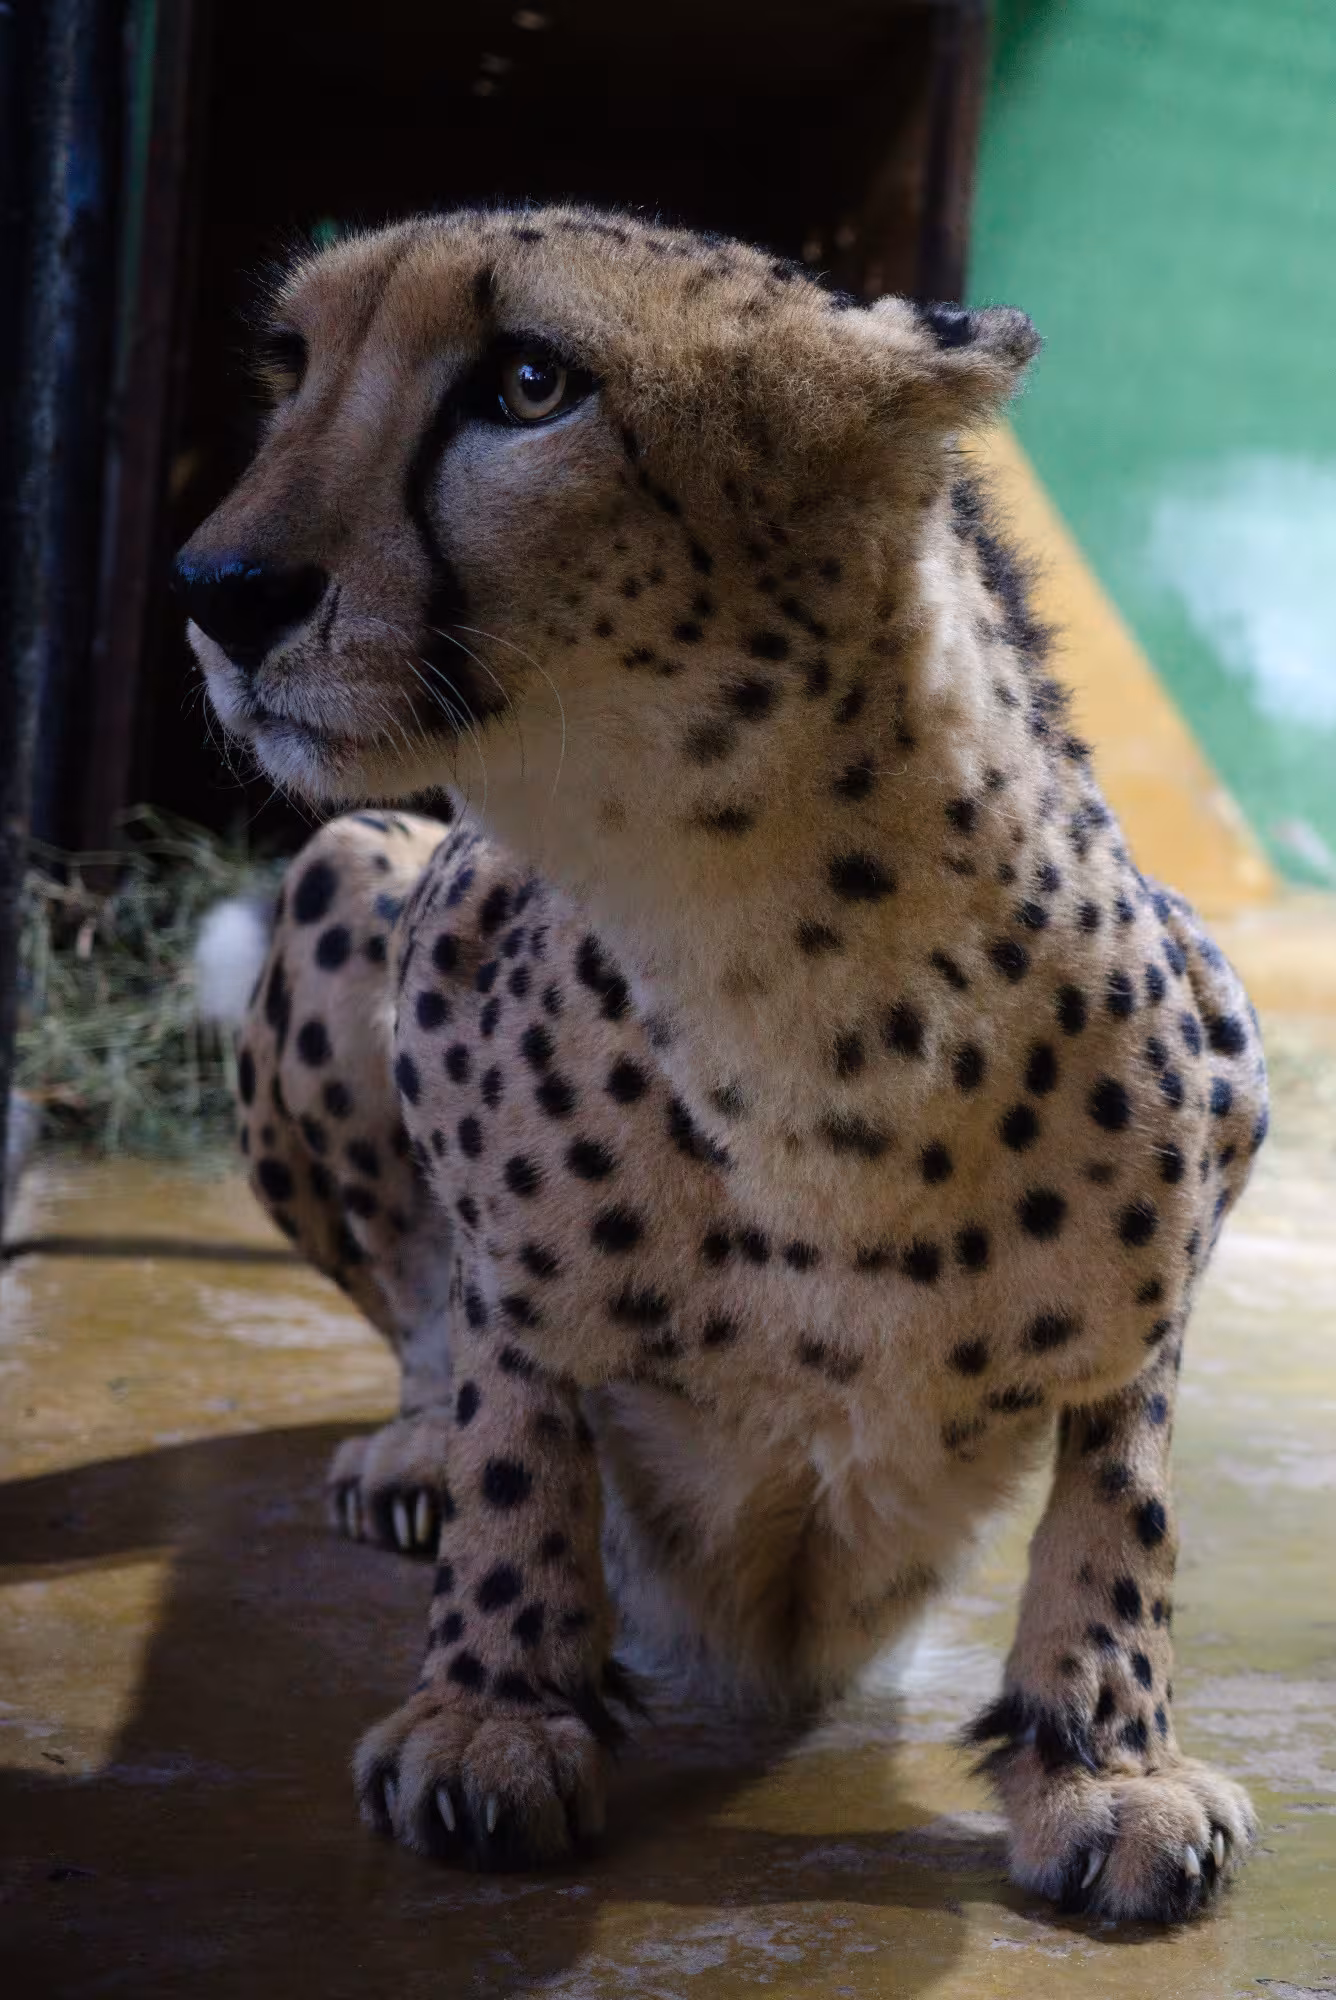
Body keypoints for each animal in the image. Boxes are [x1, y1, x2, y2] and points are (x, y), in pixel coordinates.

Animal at [177, 204, 1269, 1918]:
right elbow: (510, 1399)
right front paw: (494, 1710)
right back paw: (412, 1452)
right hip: (347, 864)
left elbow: (1127, 1489)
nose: (218, 588)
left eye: (530, 382)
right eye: (294, 368)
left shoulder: (1224, 1097)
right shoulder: (454, 992)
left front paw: (1110, 1767)